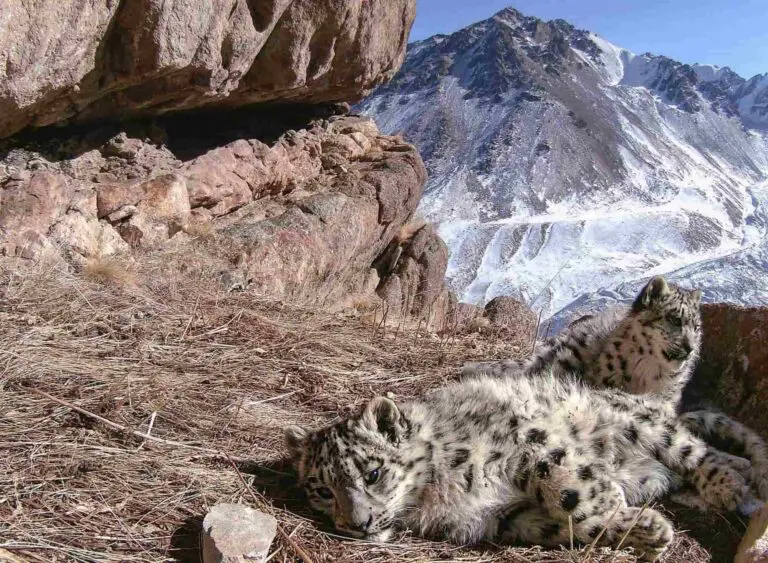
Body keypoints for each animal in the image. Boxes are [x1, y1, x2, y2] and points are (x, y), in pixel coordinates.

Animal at [286, 374, 748, 561]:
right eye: (323, 491)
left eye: (373, 474)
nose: (357, 524)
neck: (435, 495)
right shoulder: (503, 518)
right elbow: (567, 526)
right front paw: (647, 529)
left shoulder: (529, 440)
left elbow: (571, 492)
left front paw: (616, 502)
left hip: (638, 424)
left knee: (693, 449)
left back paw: (731, 483)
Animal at [463, 275, 768, 503]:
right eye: (674, 319)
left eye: (696, 326)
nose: (690, 347)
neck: (652, 374)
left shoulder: (666, 404)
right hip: (565, 357)